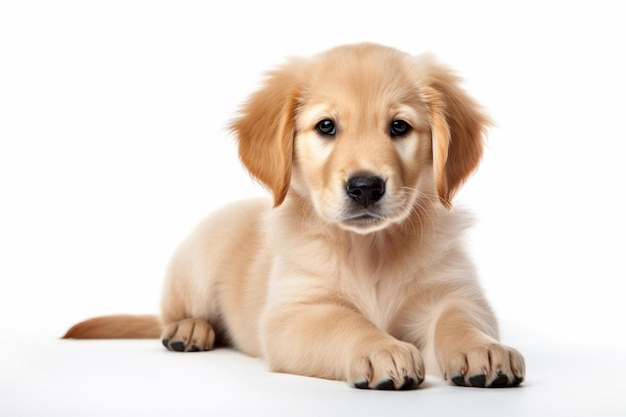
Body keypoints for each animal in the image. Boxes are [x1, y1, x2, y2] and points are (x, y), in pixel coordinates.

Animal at [64, 43, 520, 390]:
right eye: (326, 126)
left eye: (399, 127)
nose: (365, 187)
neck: (371, 248)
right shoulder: (293, 314)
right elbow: (345, 322)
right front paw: (381, 348)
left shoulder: (455, 292)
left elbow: (459, 318)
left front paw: (484, 349)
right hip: (195, 266)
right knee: (173, 313)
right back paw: (188, 330)